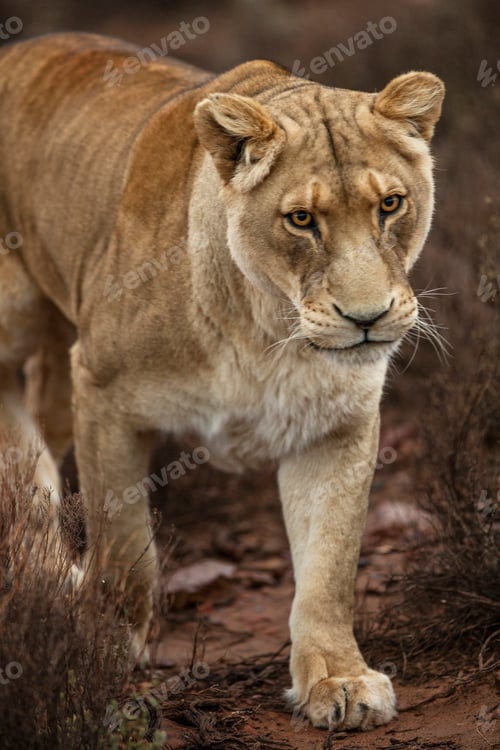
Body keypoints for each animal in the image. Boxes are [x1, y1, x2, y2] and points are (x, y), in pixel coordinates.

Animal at [0, 32, 444, 730]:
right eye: (300, 220)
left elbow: (329, 569)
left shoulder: (337, 426)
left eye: (390, 205)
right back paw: (49, 580)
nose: (367, 319)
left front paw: (338, 680)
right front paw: (94, 649)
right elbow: (126, 548)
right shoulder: (104, 393)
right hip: (17, 309)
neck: (269, 328)